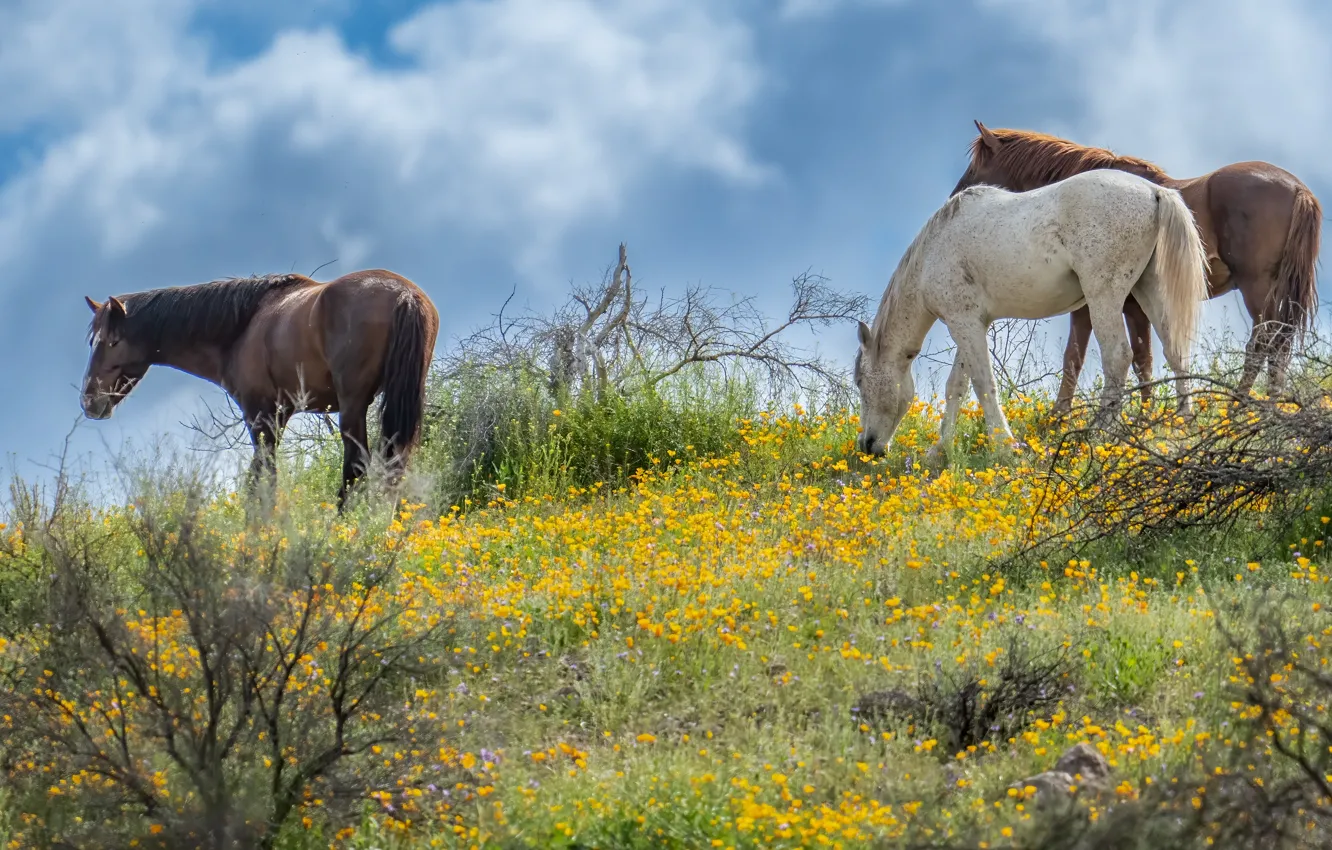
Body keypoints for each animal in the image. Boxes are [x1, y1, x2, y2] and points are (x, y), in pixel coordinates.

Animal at [80, 269, 440, 510]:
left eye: (111, 341)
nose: (89, 400)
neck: (243, 325)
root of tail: (404, 294)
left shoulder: (259, 415)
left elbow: (262, 480)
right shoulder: (279, 416)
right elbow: (260, 477)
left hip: (353, 404)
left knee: (356, 465)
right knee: (394, 462)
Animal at [854, 168, 1208, 462]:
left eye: (860, 382)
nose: (867, 445)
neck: (932, 253)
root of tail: (1154, 191)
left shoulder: (964, 323)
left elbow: (983, 383)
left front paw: (1004, 446)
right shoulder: (972, 324)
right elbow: (957, 386)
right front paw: (941, 449)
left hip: (1103, 296)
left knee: (1118, 357)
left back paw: (1098, 432)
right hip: (1150, 290)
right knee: (1175, 351)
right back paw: (1183, 422)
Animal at [952, 120, 1322, 413]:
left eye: (976, 167)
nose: (956, 197)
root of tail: (1298, 189)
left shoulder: (1092, 304)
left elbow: (1076, 357)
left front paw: (1058, 420)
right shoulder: (1134, 305)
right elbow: (1144, 360)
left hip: (1256, 287)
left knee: (1264, 342)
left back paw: (1240, 407)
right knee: (1279, 344)